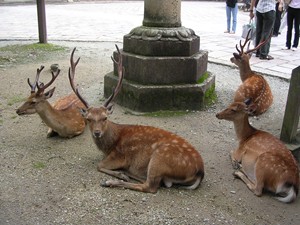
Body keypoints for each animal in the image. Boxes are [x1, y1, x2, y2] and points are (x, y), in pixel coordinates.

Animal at [67, 46, 204, 193]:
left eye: (105, 118)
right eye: (88, 119)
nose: (97, 133)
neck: (109, 146)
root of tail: (200, 172)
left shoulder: (119, 155)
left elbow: (99, 165)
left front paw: (120, 174)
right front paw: (122, 173)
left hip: (159, 158)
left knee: (150, 186)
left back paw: (112, 180)